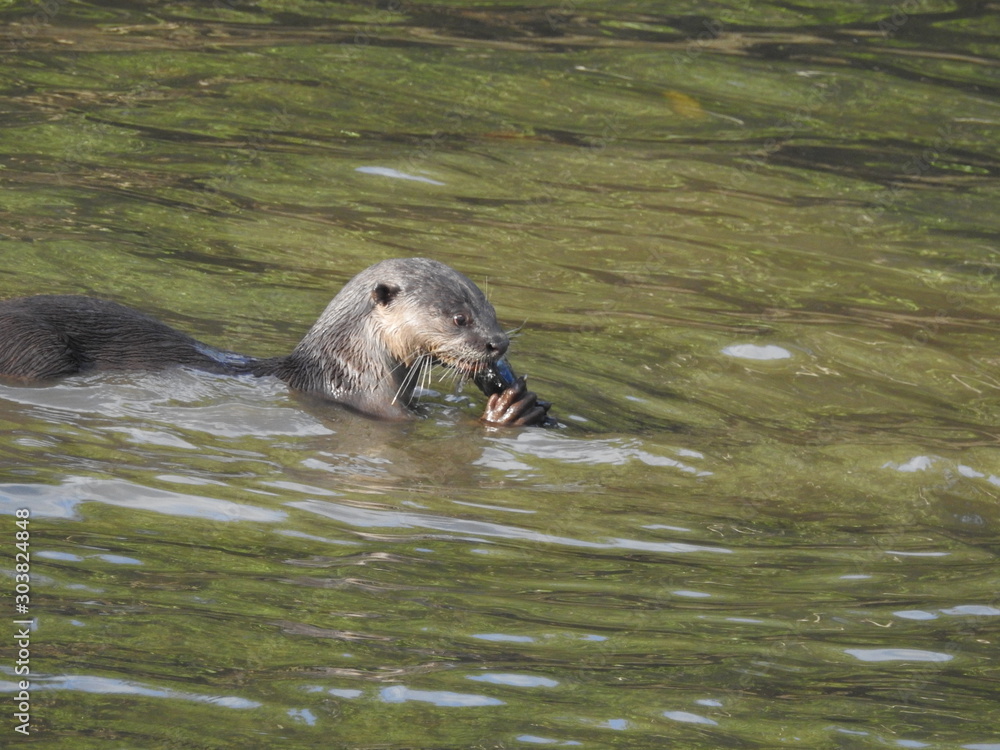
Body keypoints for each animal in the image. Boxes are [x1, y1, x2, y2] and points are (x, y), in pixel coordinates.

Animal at [0, 258, 551, 427]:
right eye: (459, 318)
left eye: (492, 311)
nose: (497, 345)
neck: (350, 366)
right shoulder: (368, 404)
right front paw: (507, 411)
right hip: (38, 349)